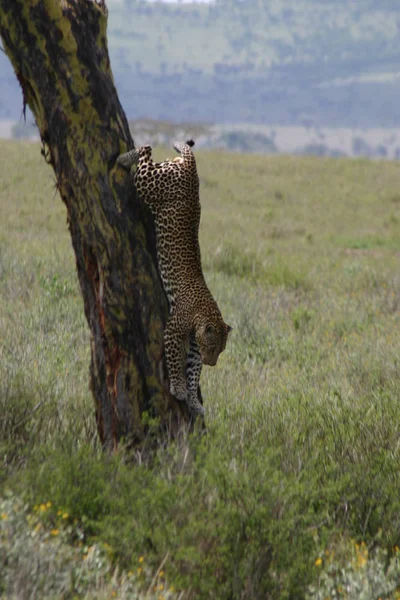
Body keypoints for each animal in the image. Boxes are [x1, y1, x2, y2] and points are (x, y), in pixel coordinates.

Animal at [116, 139, 231, 418]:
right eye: (213, 348)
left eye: (220, 350)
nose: (213, 364)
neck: (205, 312)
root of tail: (191, 169)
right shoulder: (172, 331)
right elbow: (175, 362)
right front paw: (178, 389)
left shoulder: (194, 348)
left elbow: (193, 371)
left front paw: (194, 402)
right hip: (149, 184)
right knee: (146, 150)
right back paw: (123, 159)